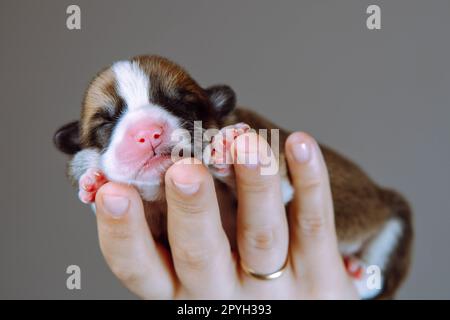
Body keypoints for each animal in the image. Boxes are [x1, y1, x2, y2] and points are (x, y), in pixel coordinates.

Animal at [52, 54, 412, 300]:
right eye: (106, 122)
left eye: (183, 106)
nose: (147, 132)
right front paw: (94, 178)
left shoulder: (278, 167)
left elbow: (277, 184)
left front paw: (226, 150)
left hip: (395, 222)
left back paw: (359, 275)